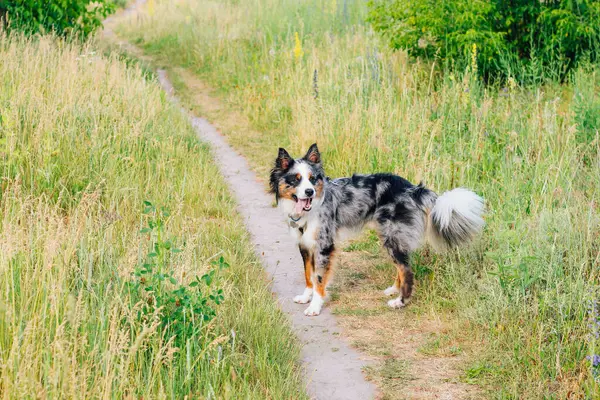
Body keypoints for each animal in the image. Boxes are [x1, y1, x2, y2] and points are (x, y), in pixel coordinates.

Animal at [270, 143, 486, 316]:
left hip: (392, 236)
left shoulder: (324, 246)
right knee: (402, 267)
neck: (310, 209)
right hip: (392, 236)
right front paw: (306, 296)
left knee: (407, 271)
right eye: (296, 179)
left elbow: (319, 278)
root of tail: (413, 189)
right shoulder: (305, 245)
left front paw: (315, 305)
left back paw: (400, 301)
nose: (309, 192)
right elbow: (308, 274)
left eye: (313, 179)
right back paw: (393, 290)